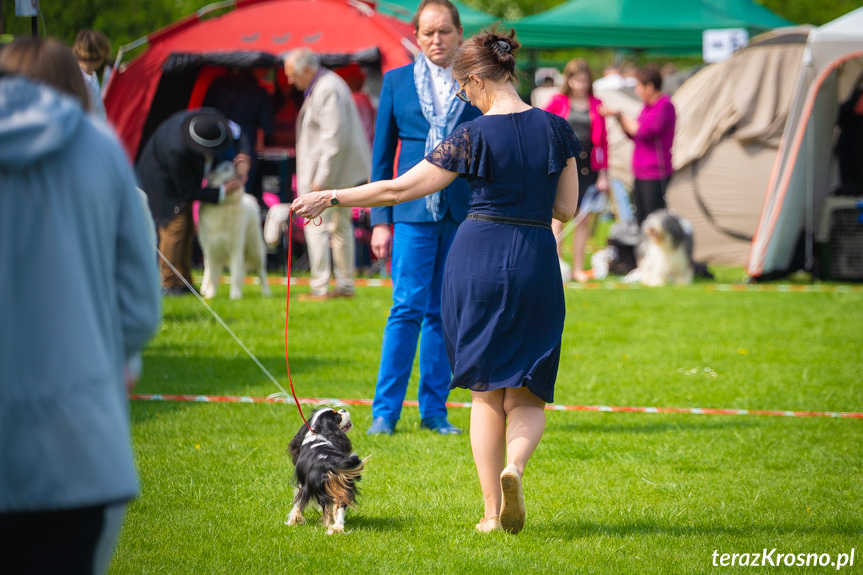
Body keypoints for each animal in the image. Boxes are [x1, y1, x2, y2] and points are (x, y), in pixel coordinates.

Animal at [198, 161, 270, 300]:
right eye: (226, 168)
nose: (238, 168)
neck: (224, 205)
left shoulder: (236, 248)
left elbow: (236, 274)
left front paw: (235, 296)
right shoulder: (212, 250)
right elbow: (213, 276)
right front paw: (212, 295)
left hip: (255, 249)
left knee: (261, 273)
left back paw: (266, 293)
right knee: (208, 271)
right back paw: (205, 289)